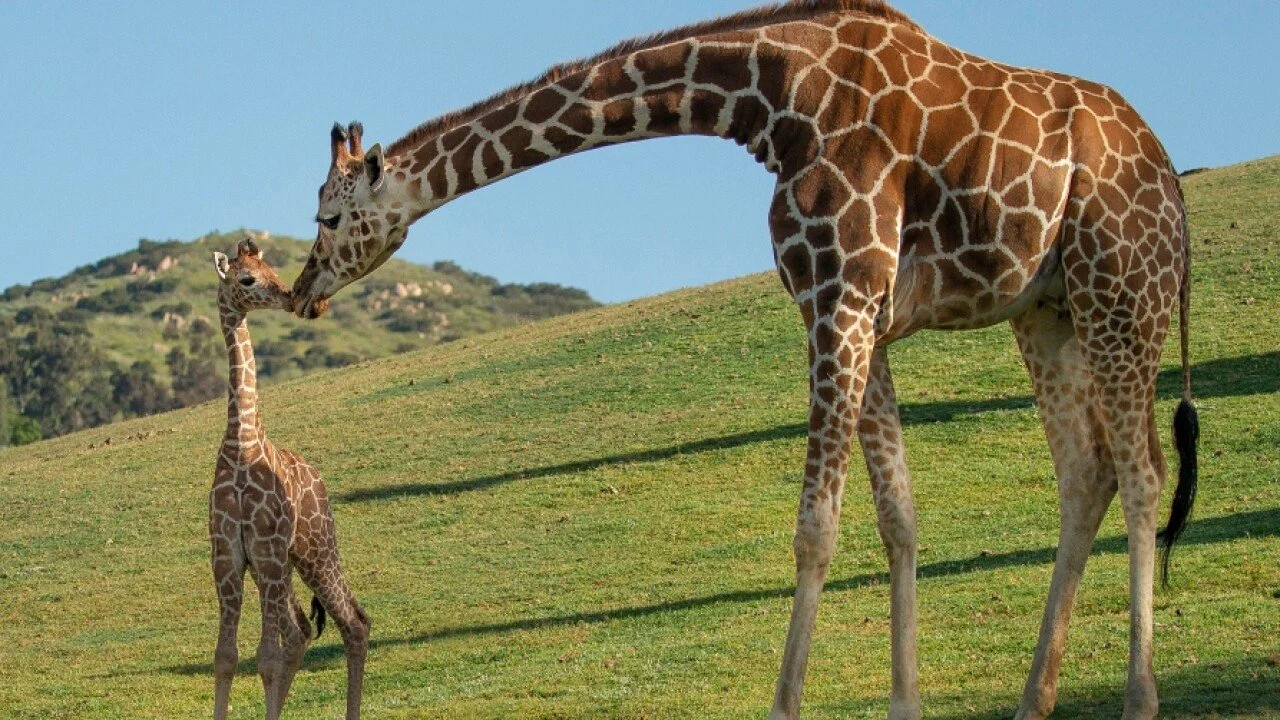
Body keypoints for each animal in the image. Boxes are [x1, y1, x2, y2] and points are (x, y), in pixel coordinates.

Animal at [210, 237, 370, 720]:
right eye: (247, 278)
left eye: (272, 270)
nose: (288, 296)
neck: (241, 444)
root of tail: (318, 478)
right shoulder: (227, 558)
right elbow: (226, 658)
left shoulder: (264, 551)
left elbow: (265, 658)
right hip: (286, 562)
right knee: (301, 628)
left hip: (314, 547)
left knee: (354, 622)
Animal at [290, 3, 1199, 718]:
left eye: (328, 216)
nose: (301, 290)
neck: (772, 99)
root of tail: (1170, 180)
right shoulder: (854, 311)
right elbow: (898, 518)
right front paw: (904, 702)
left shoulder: (841, 295)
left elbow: (815, 529)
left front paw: (785, 704)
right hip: (1048, 311)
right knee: (1087, 473)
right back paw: (1032, 699)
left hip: (1123, 290)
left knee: (1143, 471)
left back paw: (1139, 697)